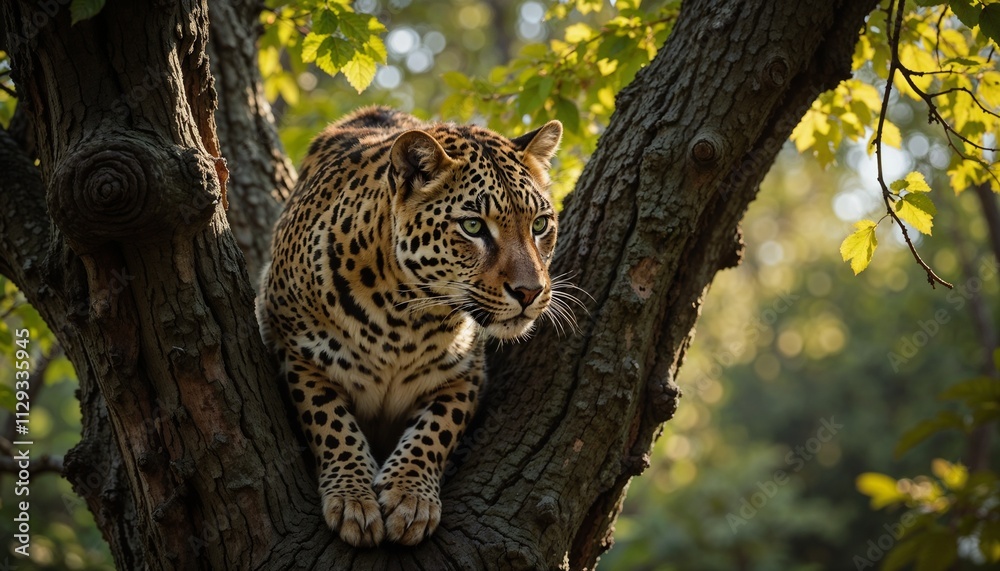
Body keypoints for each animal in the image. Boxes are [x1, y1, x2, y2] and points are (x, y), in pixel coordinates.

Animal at [257, 106, 563, 547]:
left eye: (540, 225)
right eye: (473, 227)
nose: (530, 291)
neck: (405, 320)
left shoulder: (463, 374)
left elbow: (437, 428)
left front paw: (409, 498)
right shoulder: (298, 353)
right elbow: (330, 422)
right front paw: (353, 498)